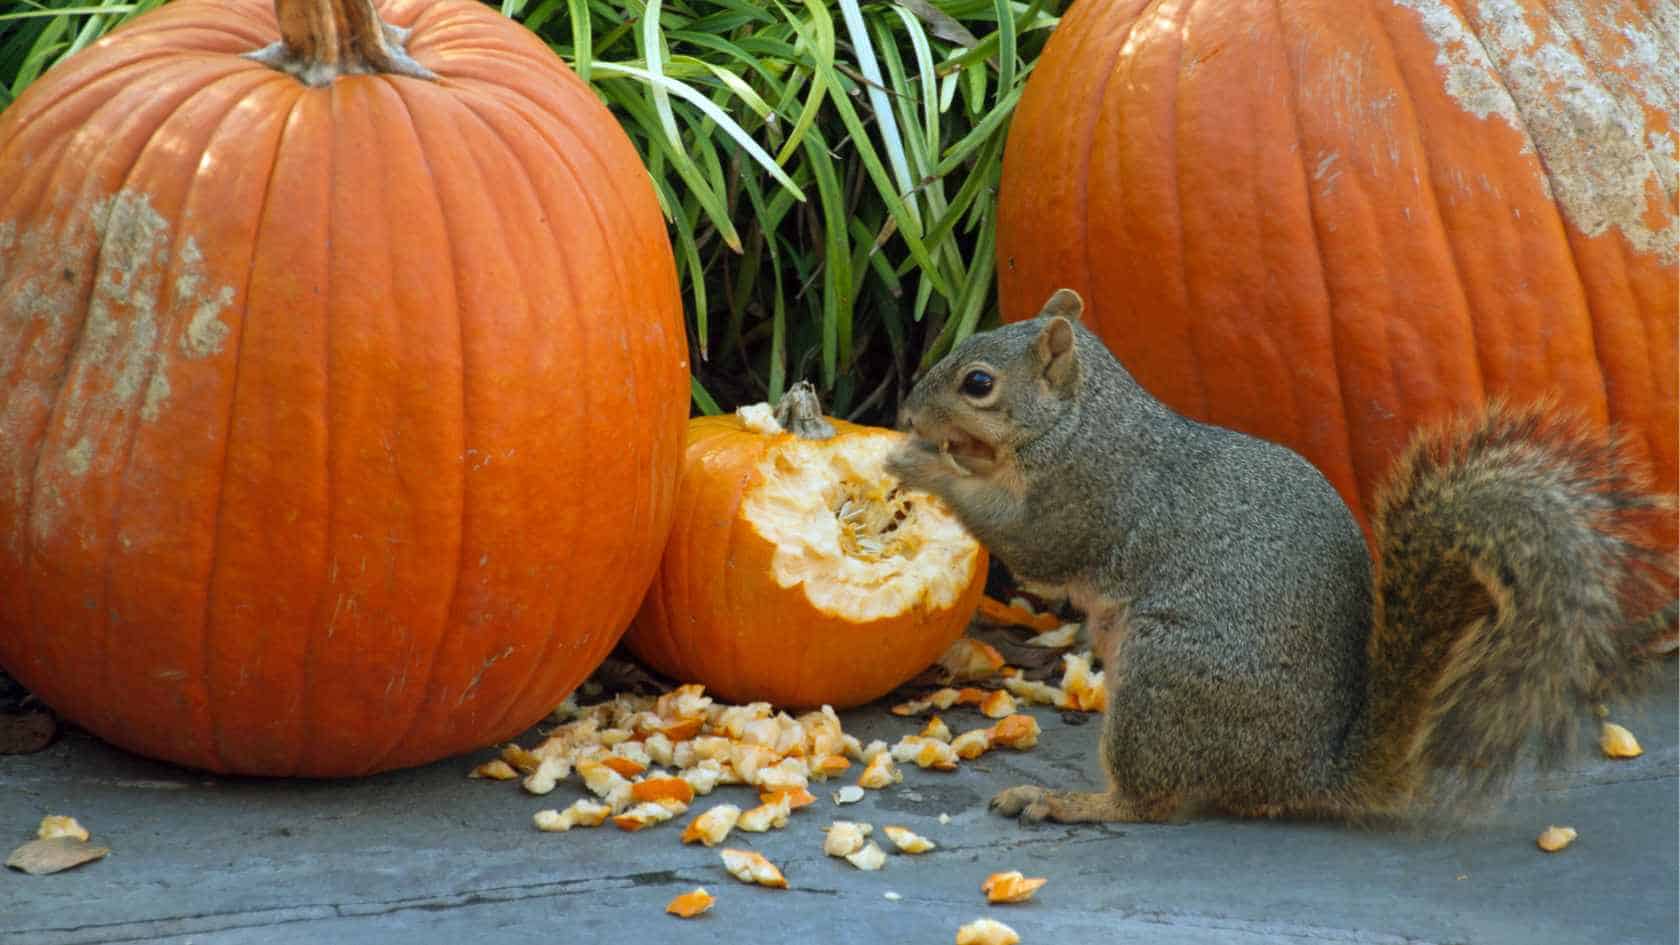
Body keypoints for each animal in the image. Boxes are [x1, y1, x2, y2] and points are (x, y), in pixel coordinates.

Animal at [887, 288, 1675, 825]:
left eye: (979, 383)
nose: (905, 410)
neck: (1083, 418)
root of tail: (1304, 773)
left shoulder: (1086, 494)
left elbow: (1032, 545)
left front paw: (921, 463)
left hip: (1164, 678)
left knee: (1149, 803)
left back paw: (1067, 800)